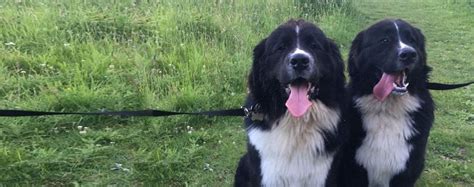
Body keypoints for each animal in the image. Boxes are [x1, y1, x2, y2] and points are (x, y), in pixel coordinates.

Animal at [340, 19, 434, 187]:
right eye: (384, 40)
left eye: (412, 40)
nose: (409, 54)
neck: (388, 109)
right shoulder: (354, 170)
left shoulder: (406, 171)